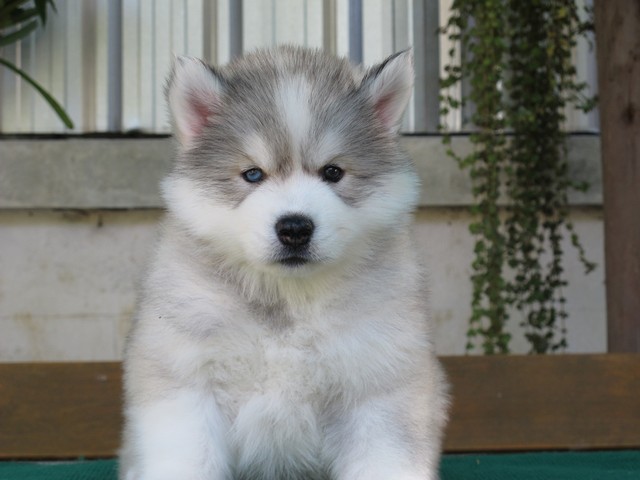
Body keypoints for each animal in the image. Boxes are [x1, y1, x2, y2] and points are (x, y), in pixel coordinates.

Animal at [120, 46, 448, 480]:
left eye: (333, 172)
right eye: (252, 174)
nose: (294, 228)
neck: (289, 299)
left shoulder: (378, 384)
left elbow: (384, 458)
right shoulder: (186, 381)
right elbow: (187, 456)